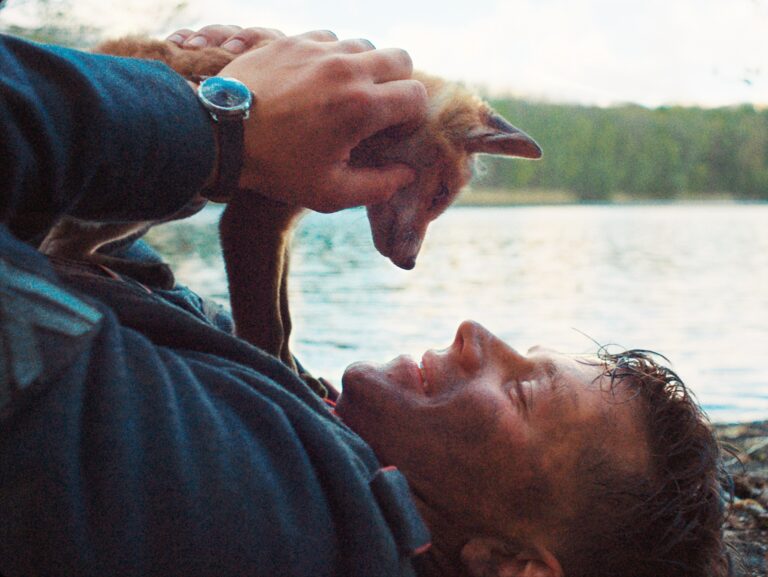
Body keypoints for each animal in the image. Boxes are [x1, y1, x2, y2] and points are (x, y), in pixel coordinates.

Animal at [39, 36, 542, 384]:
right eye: (440, 195)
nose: (409, 263)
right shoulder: (249, 222)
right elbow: (265, 327)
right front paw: (280, 376)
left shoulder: (284, 225)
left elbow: (285, 320)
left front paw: (300, 375)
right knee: (52, 243)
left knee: (65, 245)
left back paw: (135, 272)